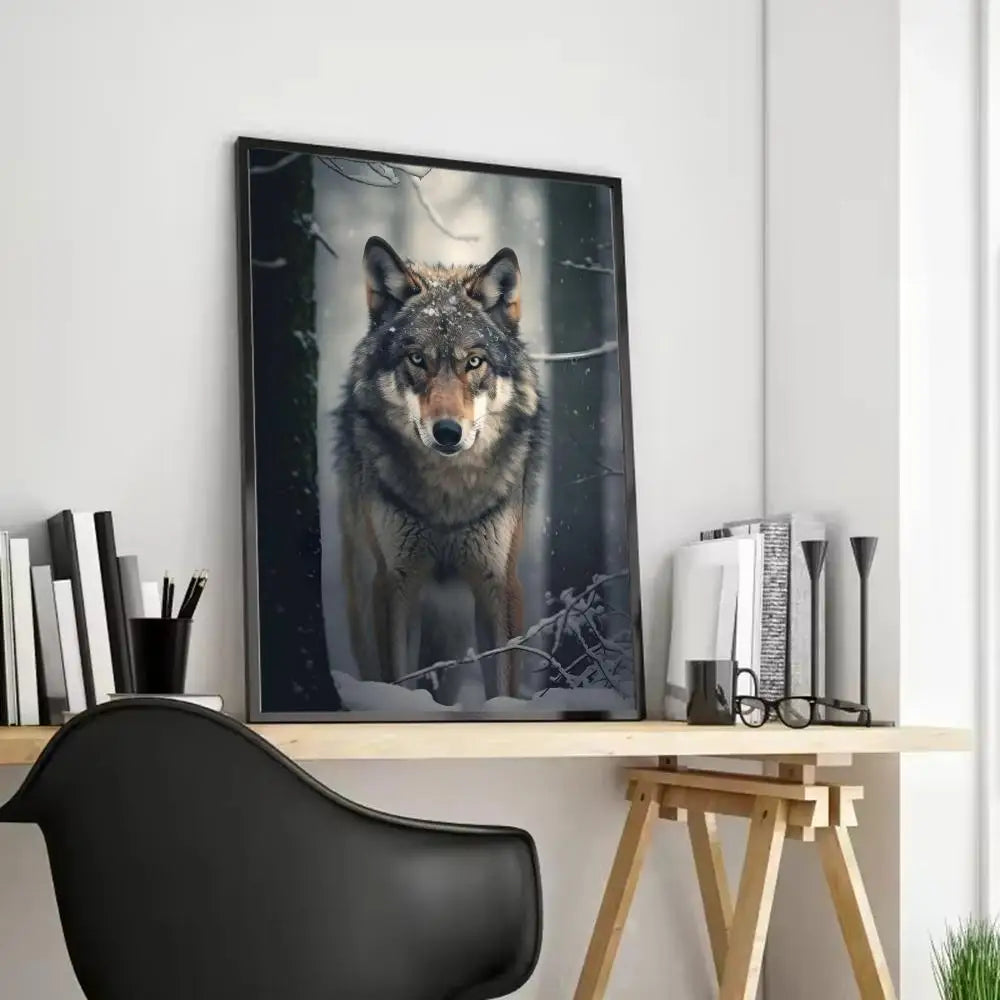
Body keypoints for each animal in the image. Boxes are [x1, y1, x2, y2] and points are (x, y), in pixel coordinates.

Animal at [333, 236, 545, 700]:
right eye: (417, 359)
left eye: (474, 362)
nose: (448, 432)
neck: (447, 498)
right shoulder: (393, 582)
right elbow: (397, 676)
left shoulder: (500, 582)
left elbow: (502, 683)